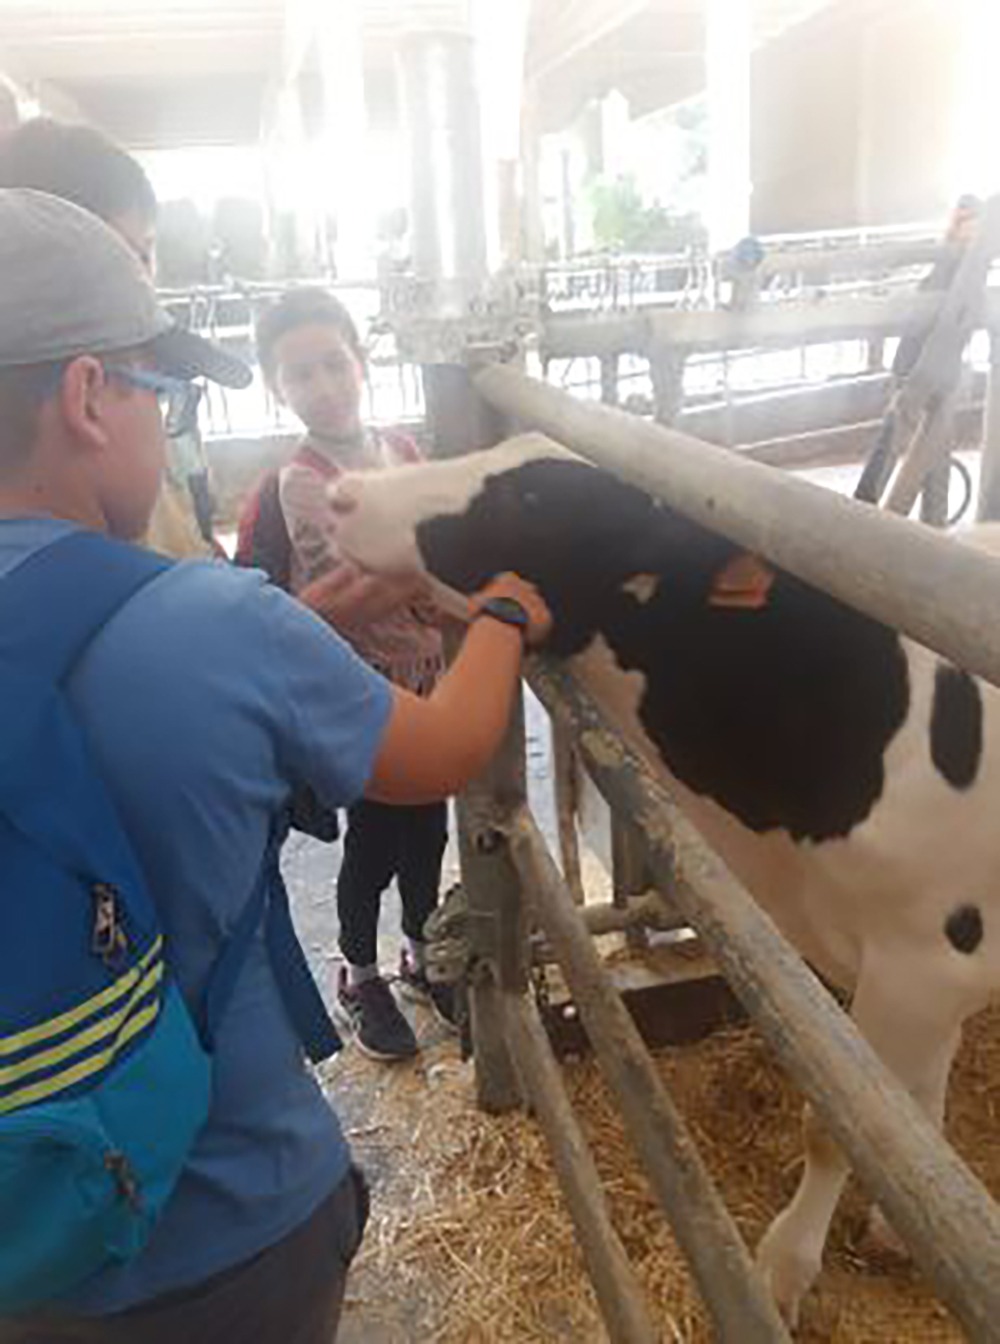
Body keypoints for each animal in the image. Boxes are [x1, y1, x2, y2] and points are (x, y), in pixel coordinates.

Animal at [330, 432, 1000, 1327]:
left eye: (532, 500)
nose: (341, 492)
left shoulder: (928, 963)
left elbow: (847, 1126)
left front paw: (784, 1270)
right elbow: (914, 1112)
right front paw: (900, 1226)